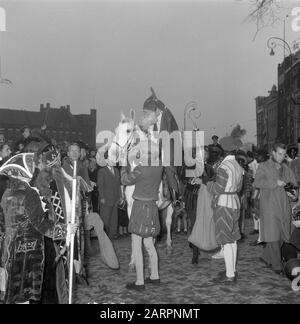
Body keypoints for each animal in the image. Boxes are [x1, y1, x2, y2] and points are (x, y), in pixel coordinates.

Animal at [103, 111, 173, 268]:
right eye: (116, 130)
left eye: (128, 131)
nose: (111, 155)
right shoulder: (131, 208)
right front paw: (134, 260)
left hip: (171, 205)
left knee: (168, 222)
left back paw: (168, 246)